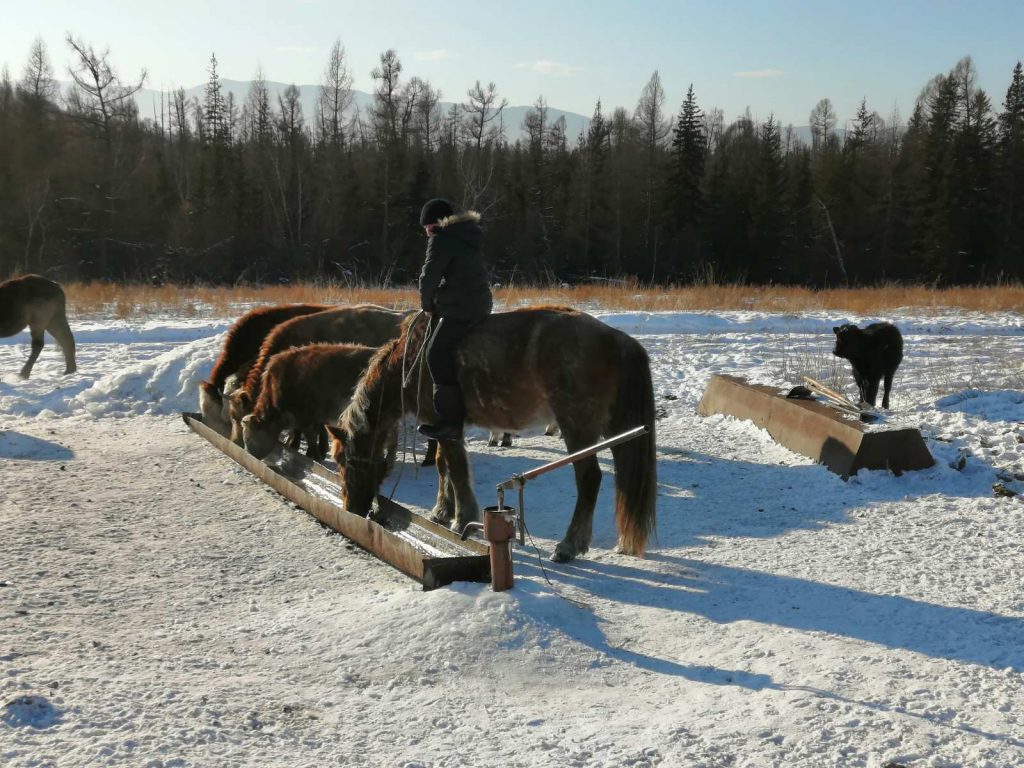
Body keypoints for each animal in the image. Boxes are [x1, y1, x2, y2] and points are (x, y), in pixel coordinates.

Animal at [329, 307, 658, 563]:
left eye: (347, 461)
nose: (351, 509)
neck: (412, 360)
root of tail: (617, 339)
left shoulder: (441, 423)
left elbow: (456, 469)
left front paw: (461, 517)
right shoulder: (442, 426)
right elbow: (443, 465)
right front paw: (442, 510)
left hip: (577, 425)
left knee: (589, 478)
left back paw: (569, 545)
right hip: (617, 429)